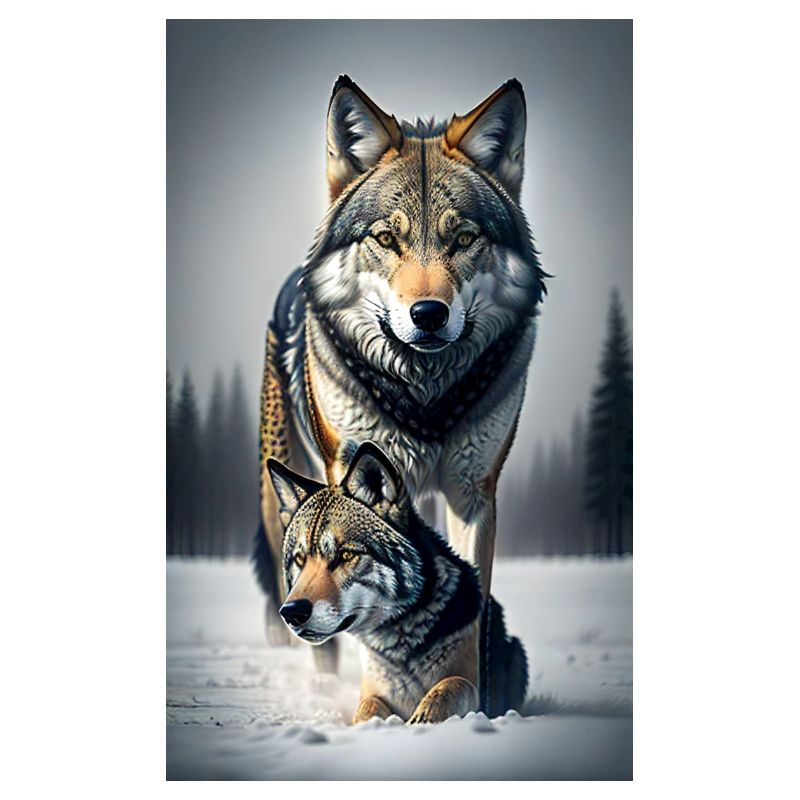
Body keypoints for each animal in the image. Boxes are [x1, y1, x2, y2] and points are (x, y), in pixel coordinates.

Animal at [267, 441, 528, 722]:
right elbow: (368, 707)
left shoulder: (472, 686)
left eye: (346, 555)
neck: (400, 645)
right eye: (300, 559)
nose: (292, 612)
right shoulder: (372, 692)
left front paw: (423, 717)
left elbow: (453, 684)